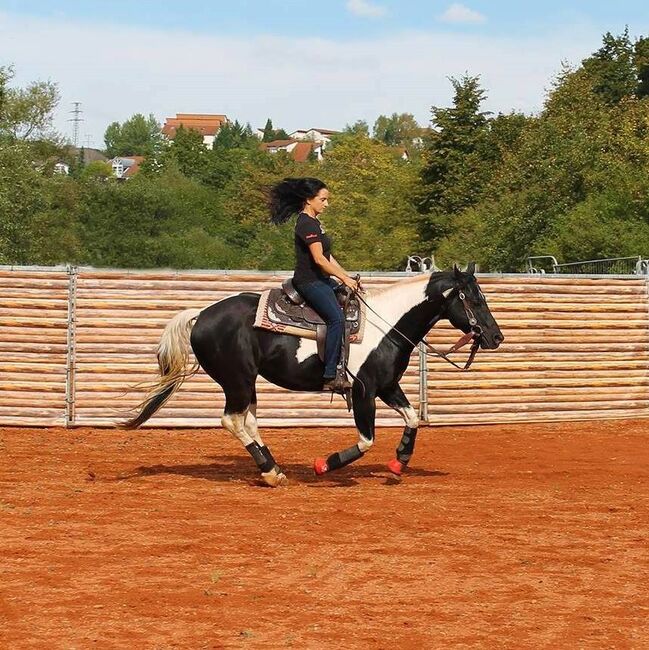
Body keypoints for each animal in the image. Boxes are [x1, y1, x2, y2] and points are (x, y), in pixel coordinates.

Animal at [125, 264, 502, 486]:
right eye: (473, 299)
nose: (496, 337)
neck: (387, 325)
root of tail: (201, 314)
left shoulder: (387, 386)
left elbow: (411, 419)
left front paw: (399, 465)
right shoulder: (364, 391)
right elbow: (366, 440)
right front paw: (325, 465)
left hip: (248, 383)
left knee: (248, 421)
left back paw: (274, 468)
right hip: (237, 380)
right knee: (232, 420)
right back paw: (270, 473)